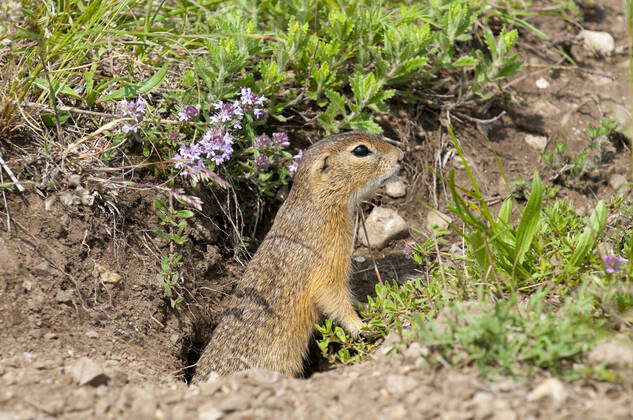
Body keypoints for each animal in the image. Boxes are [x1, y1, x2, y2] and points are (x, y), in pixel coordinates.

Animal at [193, 130, 402, 380]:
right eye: (360, 150)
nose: (401, 155)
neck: (318, 204)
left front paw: (367, 306)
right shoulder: (326, 267)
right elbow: (334, 299)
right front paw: (362, 327)